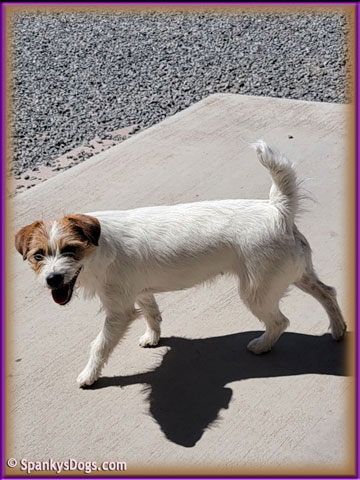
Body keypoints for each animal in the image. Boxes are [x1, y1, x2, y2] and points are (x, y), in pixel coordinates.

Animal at [14, 142, 346, 386]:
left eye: (71, 250)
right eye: (38, 256)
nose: (53, 279)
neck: (99, 249)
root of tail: (278, 210)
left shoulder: (118, 312)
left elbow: (99, 345)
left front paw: (89, 375)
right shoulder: (141, 292)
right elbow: (152, 314)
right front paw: (153, 337)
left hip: (258, 291)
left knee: (280, 321)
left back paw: (262, 345)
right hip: (297, 273)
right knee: (327, 292)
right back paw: (338, 329)